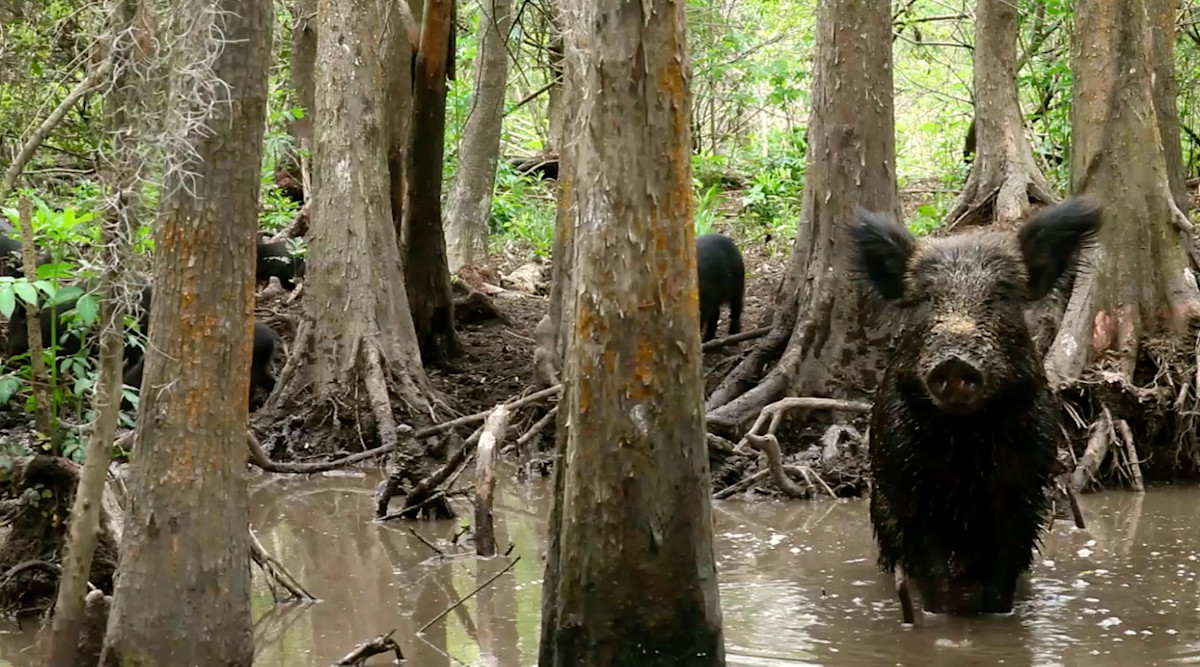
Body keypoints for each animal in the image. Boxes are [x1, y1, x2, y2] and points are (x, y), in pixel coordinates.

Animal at [850, 197, 1102, 621]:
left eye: (1002, 295)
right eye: (925, 298)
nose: (955, 363)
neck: (965, 444)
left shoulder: (1024, 487)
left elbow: (1006, 567)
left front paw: (992, 615)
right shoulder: (904, 485)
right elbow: (929, 569)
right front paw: (946, 616)